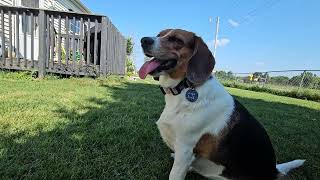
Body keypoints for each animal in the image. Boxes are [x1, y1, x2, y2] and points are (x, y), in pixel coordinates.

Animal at [139, 28, 304, 179]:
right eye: (159, 34)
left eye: (176, 39)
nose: (143, 40)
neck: (185, 87)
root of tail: (274, 170)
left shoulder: (184, 149)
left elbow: (175, 174)